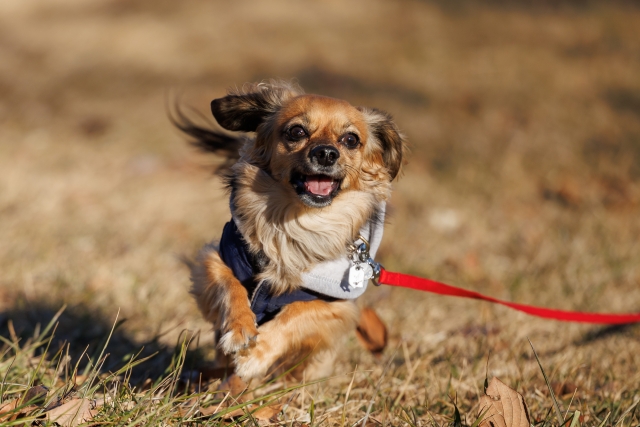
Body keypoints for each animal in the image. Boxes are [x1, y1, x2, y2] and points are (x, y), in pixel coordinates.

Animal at [178, 82, 402, 382]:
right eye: (297, 132)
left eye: (350, 139)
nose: (326, 153)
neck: (296, 222)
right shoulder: (216, 259)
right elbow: (230, 286)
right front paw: (239, 329)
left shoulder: (335, 304)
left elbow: (296, 312)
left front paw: (256, 355)